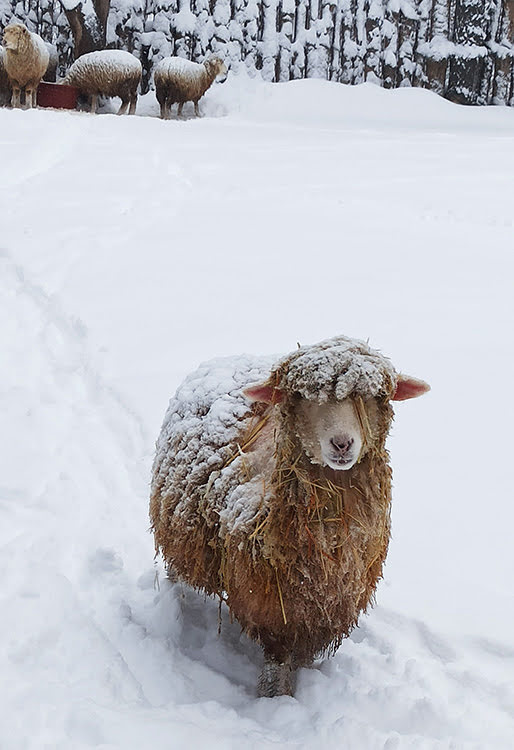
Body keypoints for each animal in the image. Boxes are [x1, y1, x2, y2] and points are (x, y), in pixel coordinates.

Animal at [149, 334, 428, 700]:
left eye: (375, 396)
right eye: (302, 396)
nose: (342, 444)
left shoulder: (321, 611)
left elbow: (302, 659)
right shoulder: (274, 611)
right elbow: (277, 668)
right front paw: (276, 700)